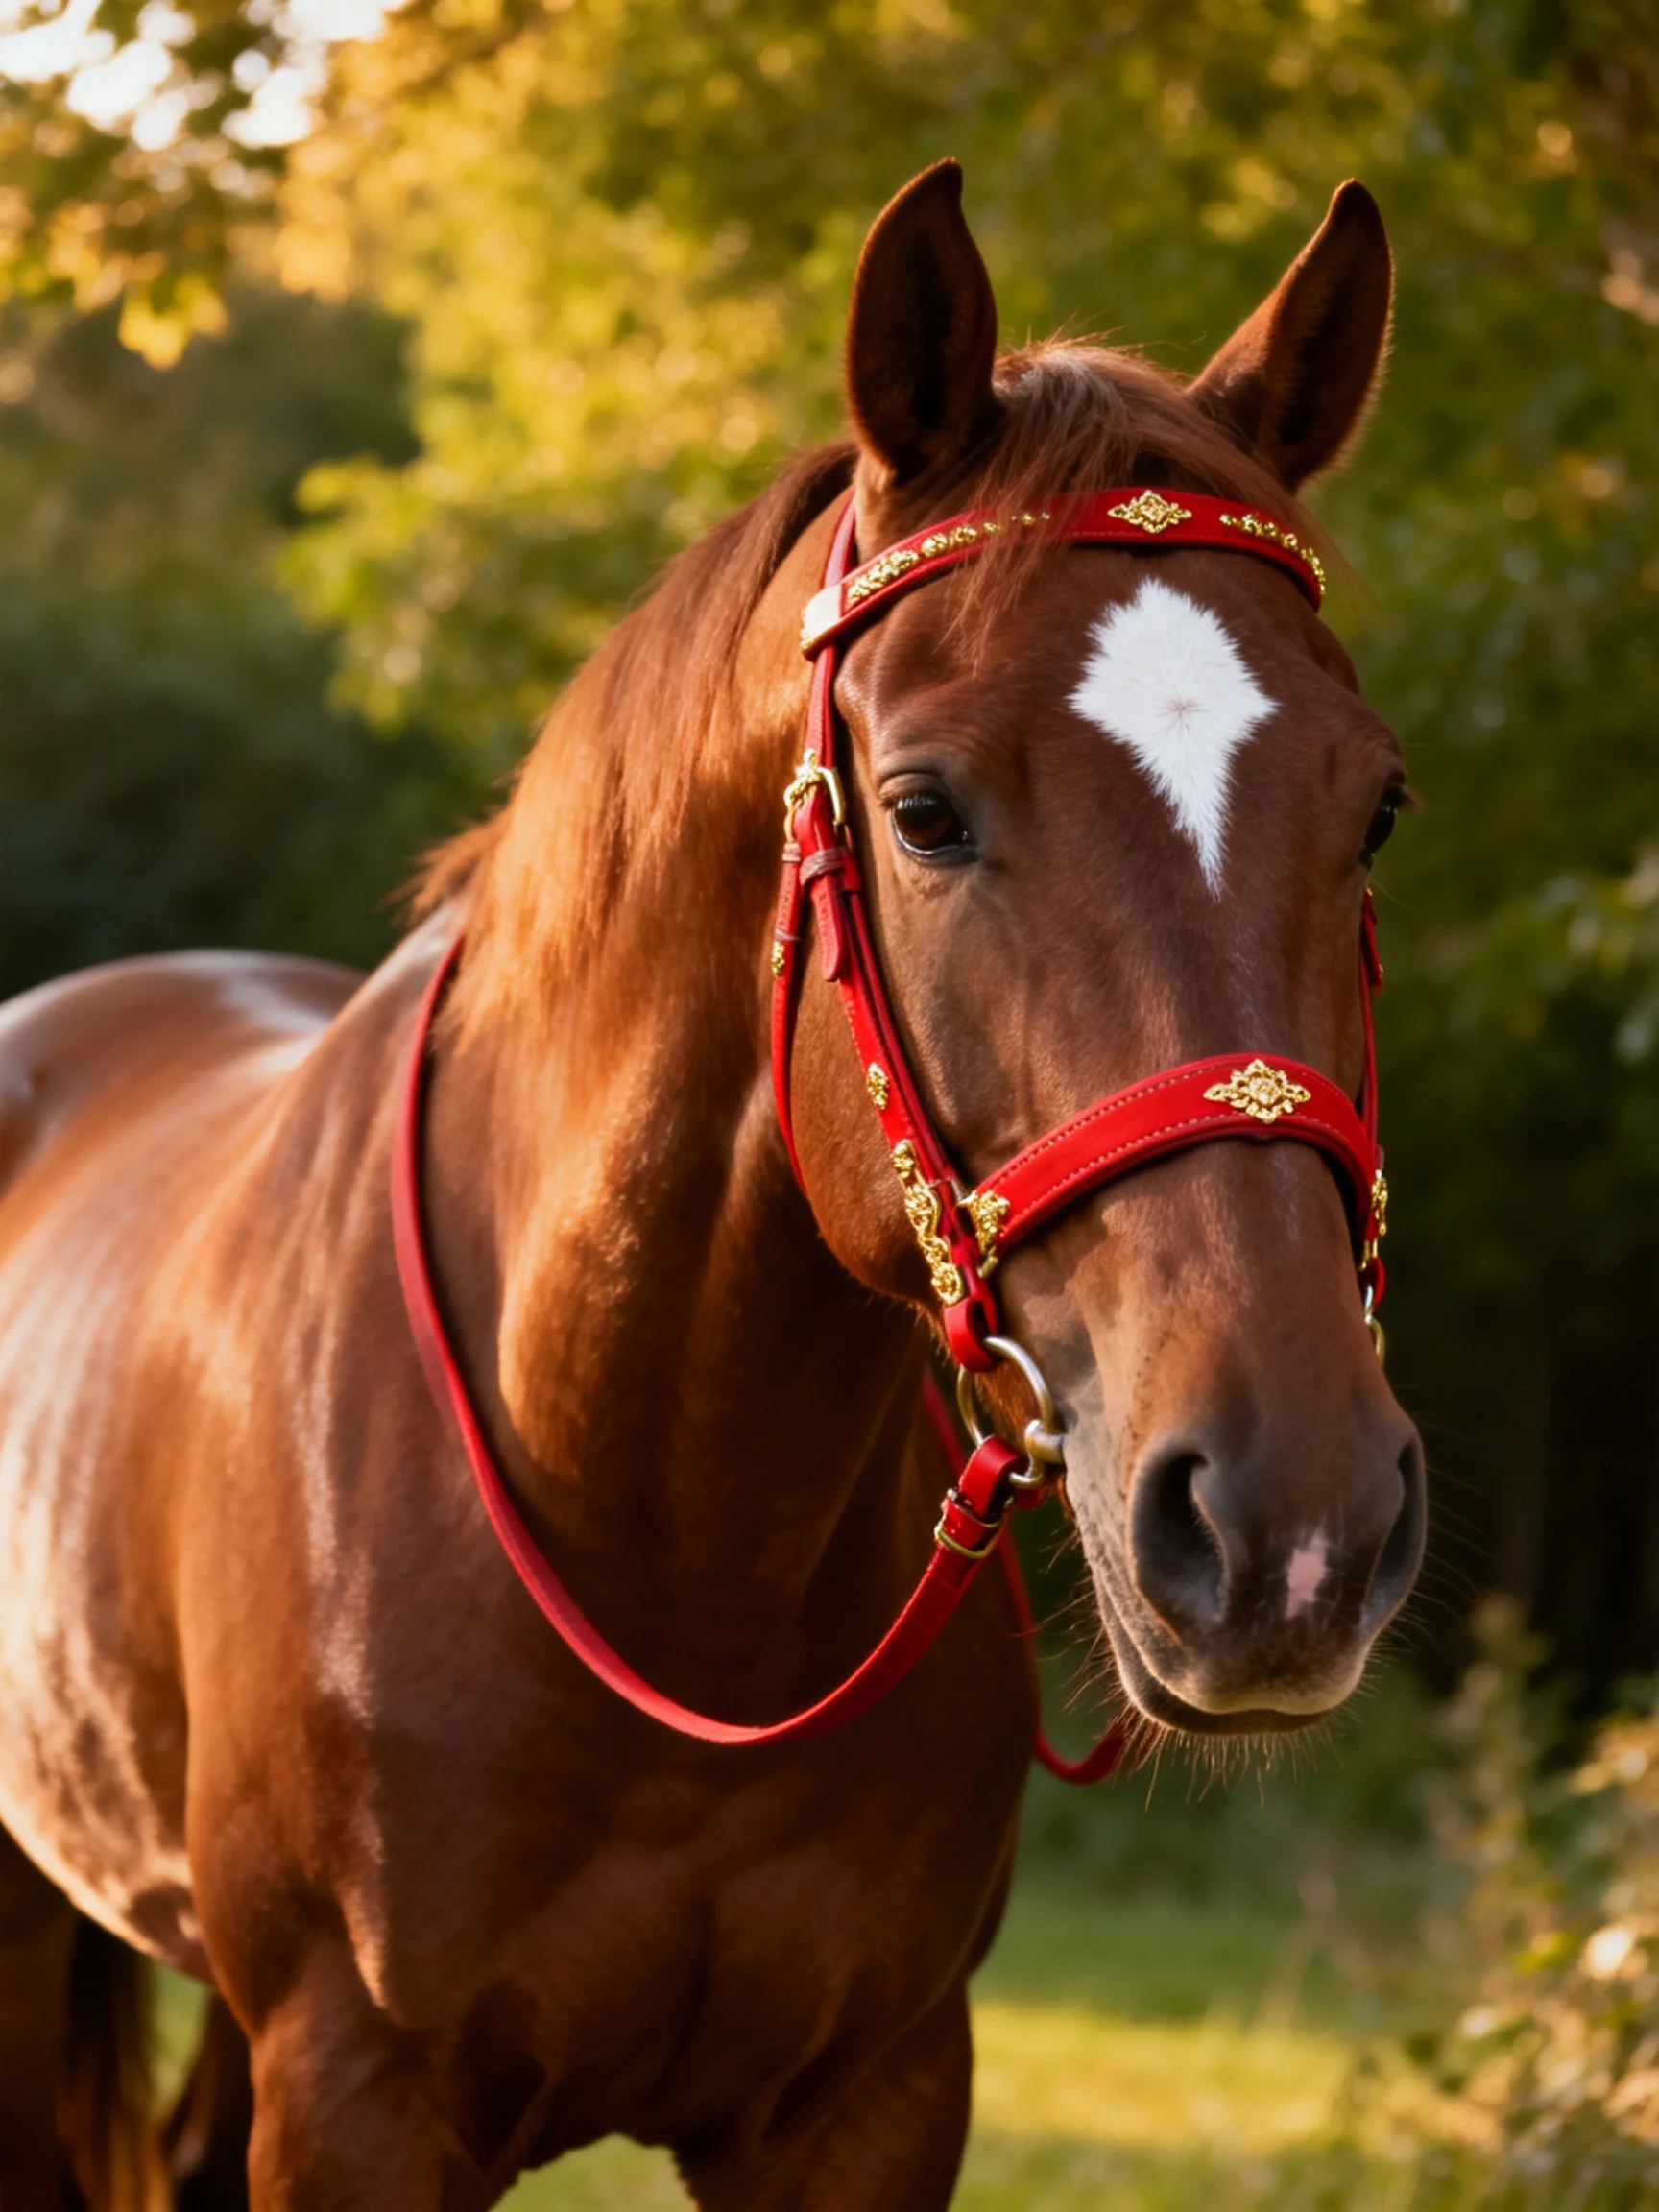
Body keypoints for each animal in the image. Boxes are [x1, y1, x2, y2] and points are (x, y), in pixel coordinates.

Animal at [0, 160, 1423, 2209]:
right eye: (921, 808)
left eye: (1371, 802)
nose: (1285, 1521)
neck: (657, 1536)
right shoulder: (355, 2100)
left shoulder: (869, 2100)